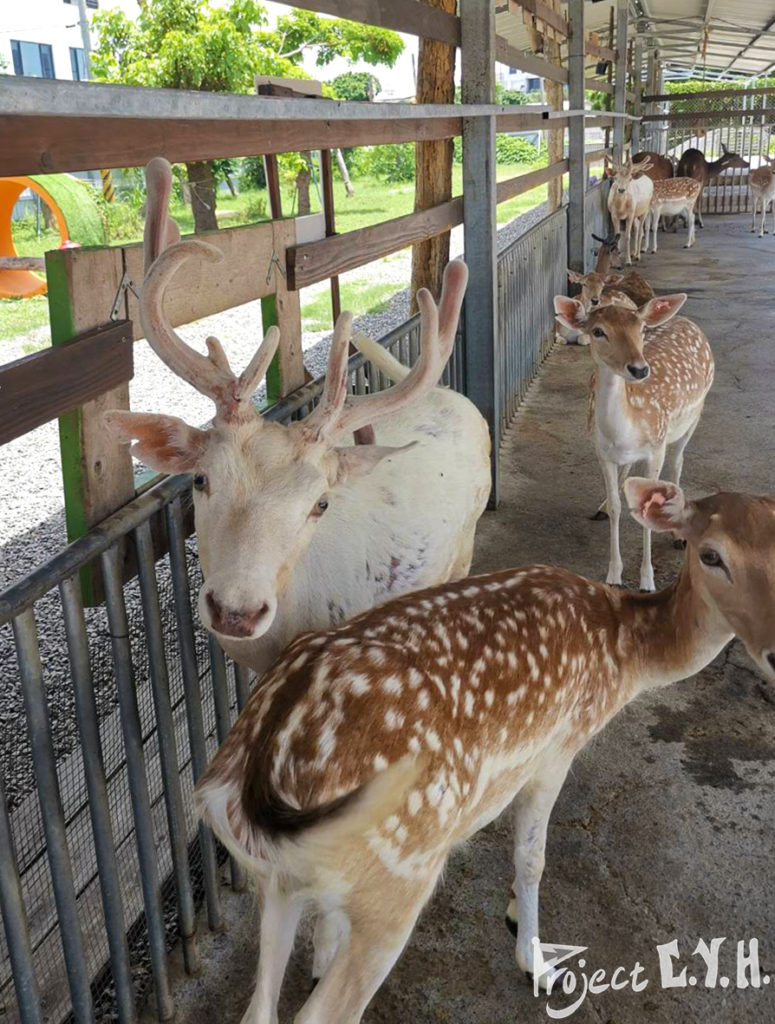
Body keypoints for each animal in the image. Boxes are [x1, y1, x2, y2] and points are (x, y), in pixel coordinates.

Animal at [104, 159, 489, 675]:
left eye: (321, 503)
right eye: (200, 480)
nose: (237, 611)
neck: (285, 633)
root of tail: (449, 393)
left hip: (468, 537)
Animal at [196, 479, 773, 1024]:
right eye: (710, 554)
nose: (771, 652)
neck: (625, 654)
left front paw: (516, 915)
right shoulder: (558, 748)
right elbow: (533, 856)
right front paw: (537, 964)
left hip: (274, 881)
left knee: (259, 1009)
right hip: (398, 878)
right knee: (324, 1010)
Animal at [548, 292, 712, 589]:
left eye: (641, 329)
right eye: (598, 331)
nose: (639, 369)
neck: (625, 430)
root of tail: (685, 320)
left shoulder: (656, 448)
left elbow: (647, 510)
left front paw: (647, 581)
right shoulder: (602, 452)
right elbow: (616, 506)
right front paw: (614, 576)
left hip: (693, 417)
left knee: (678, 462)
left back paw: (678, 535)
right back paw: (601, 507)